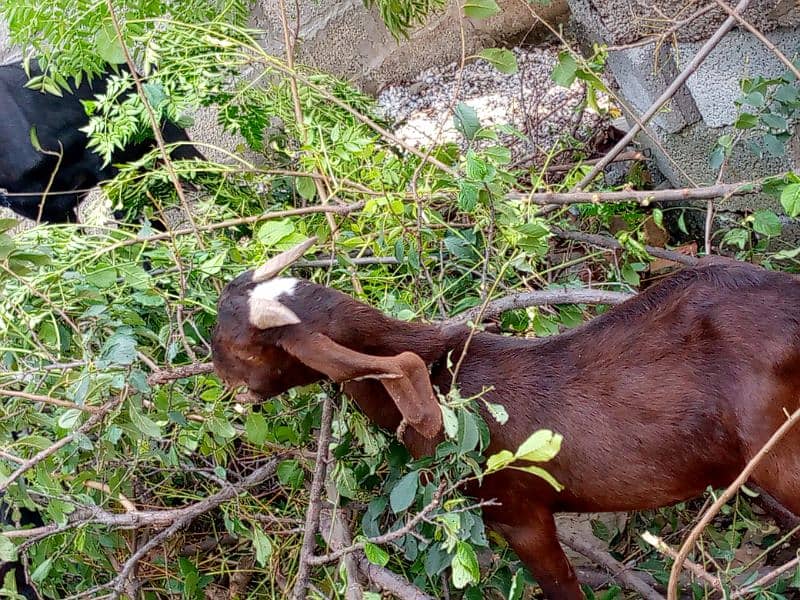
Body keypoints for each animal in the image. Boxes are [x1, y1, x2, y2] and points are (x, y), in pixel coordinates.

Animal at [211, 246, 800, 596]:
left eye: (243, 348)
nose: (223, 385)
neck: (444, 375)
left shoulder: (518, 510)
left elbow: (562, 585)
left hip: (780, 451)